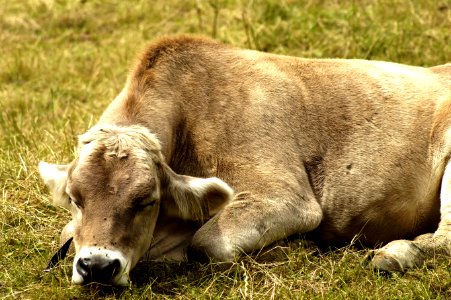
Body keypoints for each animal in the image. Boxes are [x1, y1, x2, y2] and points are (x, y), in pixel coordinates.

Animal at [39, 35, 451, 286]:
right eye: (75, 199)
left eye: (146, 201)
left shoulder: (287, 198)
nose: (97, 266)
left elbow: (208, 243)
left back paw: (393, 254)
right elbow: (65, 236)